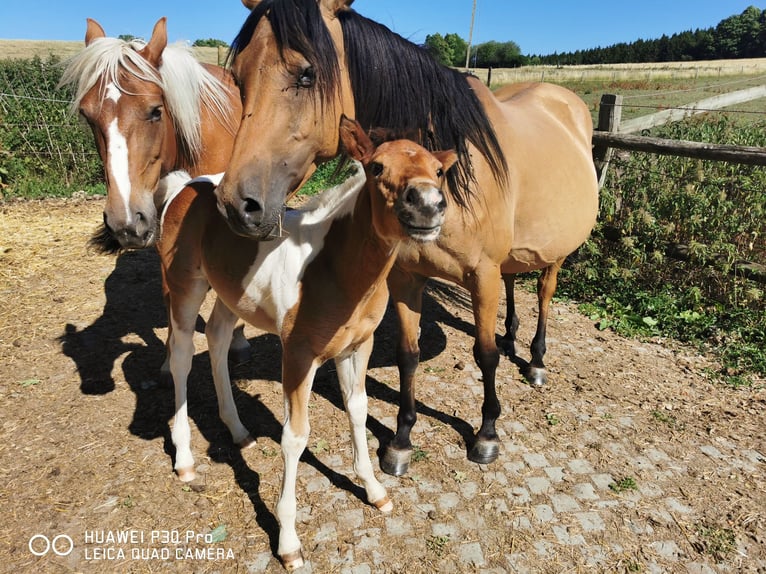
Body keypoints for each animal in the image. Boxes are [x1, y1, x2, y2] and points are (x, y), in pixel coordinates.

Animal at [157, 118, 456, 572]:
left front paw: (374, 490)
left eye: (438, 172)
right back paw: (186, 460)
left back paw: (238, 430)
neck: (337, 270)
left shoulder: (357, 347)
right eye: (377, 168)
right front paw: (288, 541)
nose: (426, 205)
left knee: (219, 339)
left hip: (231, 294)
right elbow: (295, 437)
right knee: (180, 357)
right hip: (185, 288)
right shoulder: (298, 356)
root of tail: (186, 185)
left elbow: (358, 409)